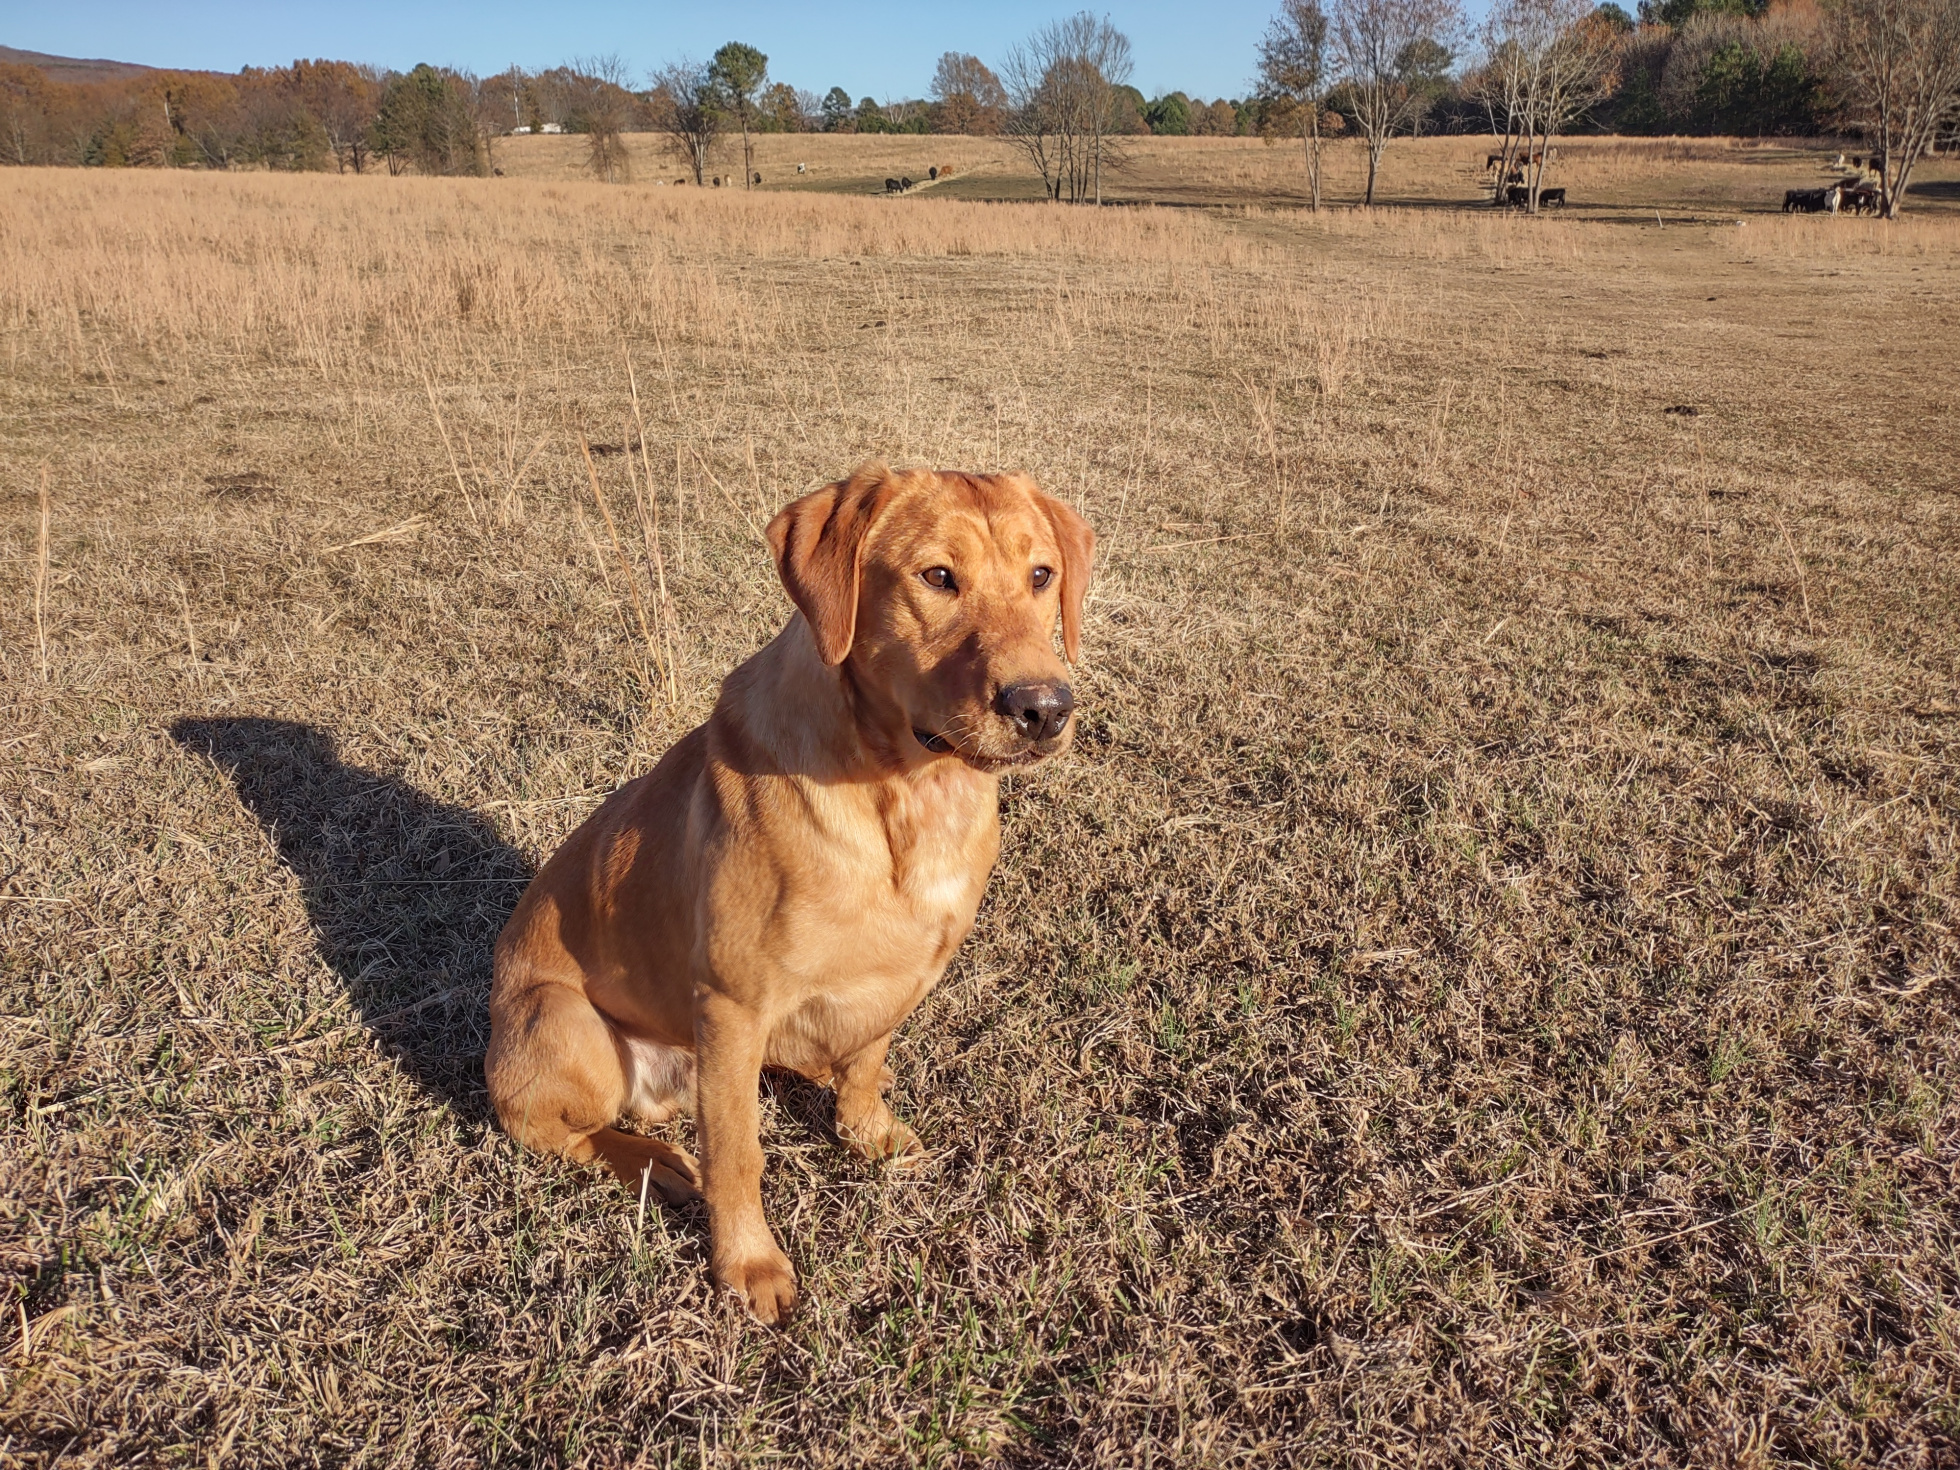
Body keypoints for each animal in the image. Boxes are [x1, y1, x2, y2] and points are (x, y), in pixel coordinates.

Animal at [484, 466, 1097, 1332]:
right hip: (567, 1024)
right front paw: (749, 1264)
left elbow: (869, 1057)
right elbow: (739, 1154)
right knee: (552, 1128)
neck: (907, 795)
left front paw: (865, 1128)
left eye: (1042, 575)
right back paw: (657, 1164)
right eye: (938, 577)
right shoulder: (731, 1004)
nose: (1044, 707)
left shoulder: (905, 974)